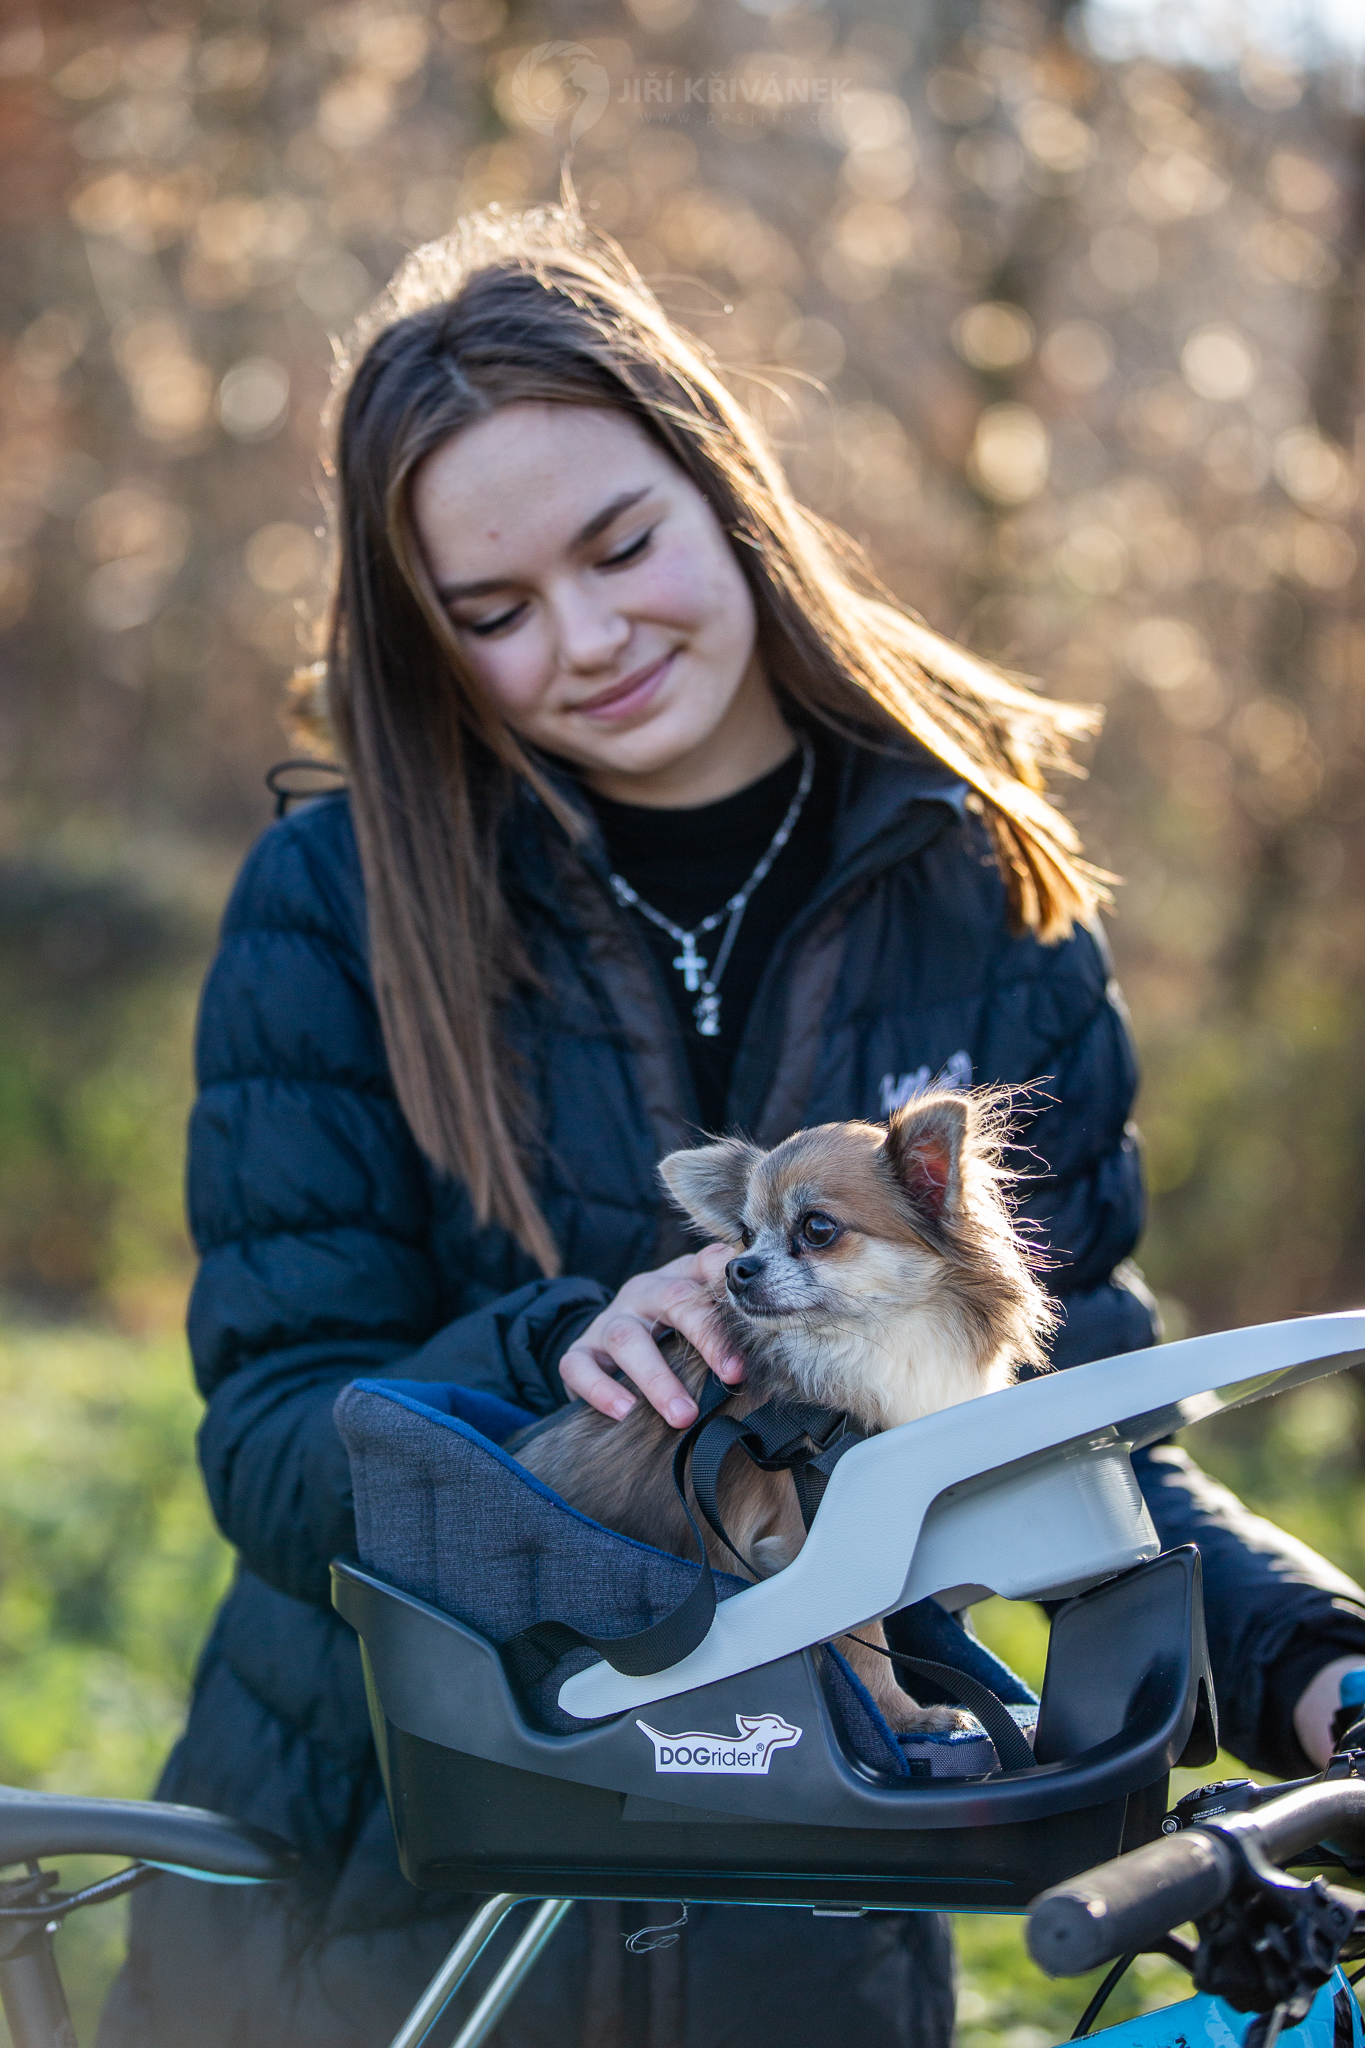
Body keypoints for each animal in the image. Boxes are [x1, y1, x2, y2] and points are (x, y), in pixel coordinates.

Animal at [515, 1089, 1055, 1728]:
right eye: (745, 1234)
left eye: (817, 1228)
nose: (735, 1268)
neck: (865, 1344)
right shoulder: (813, 1539)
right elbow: (860, 1640)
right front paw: (902, 1718)